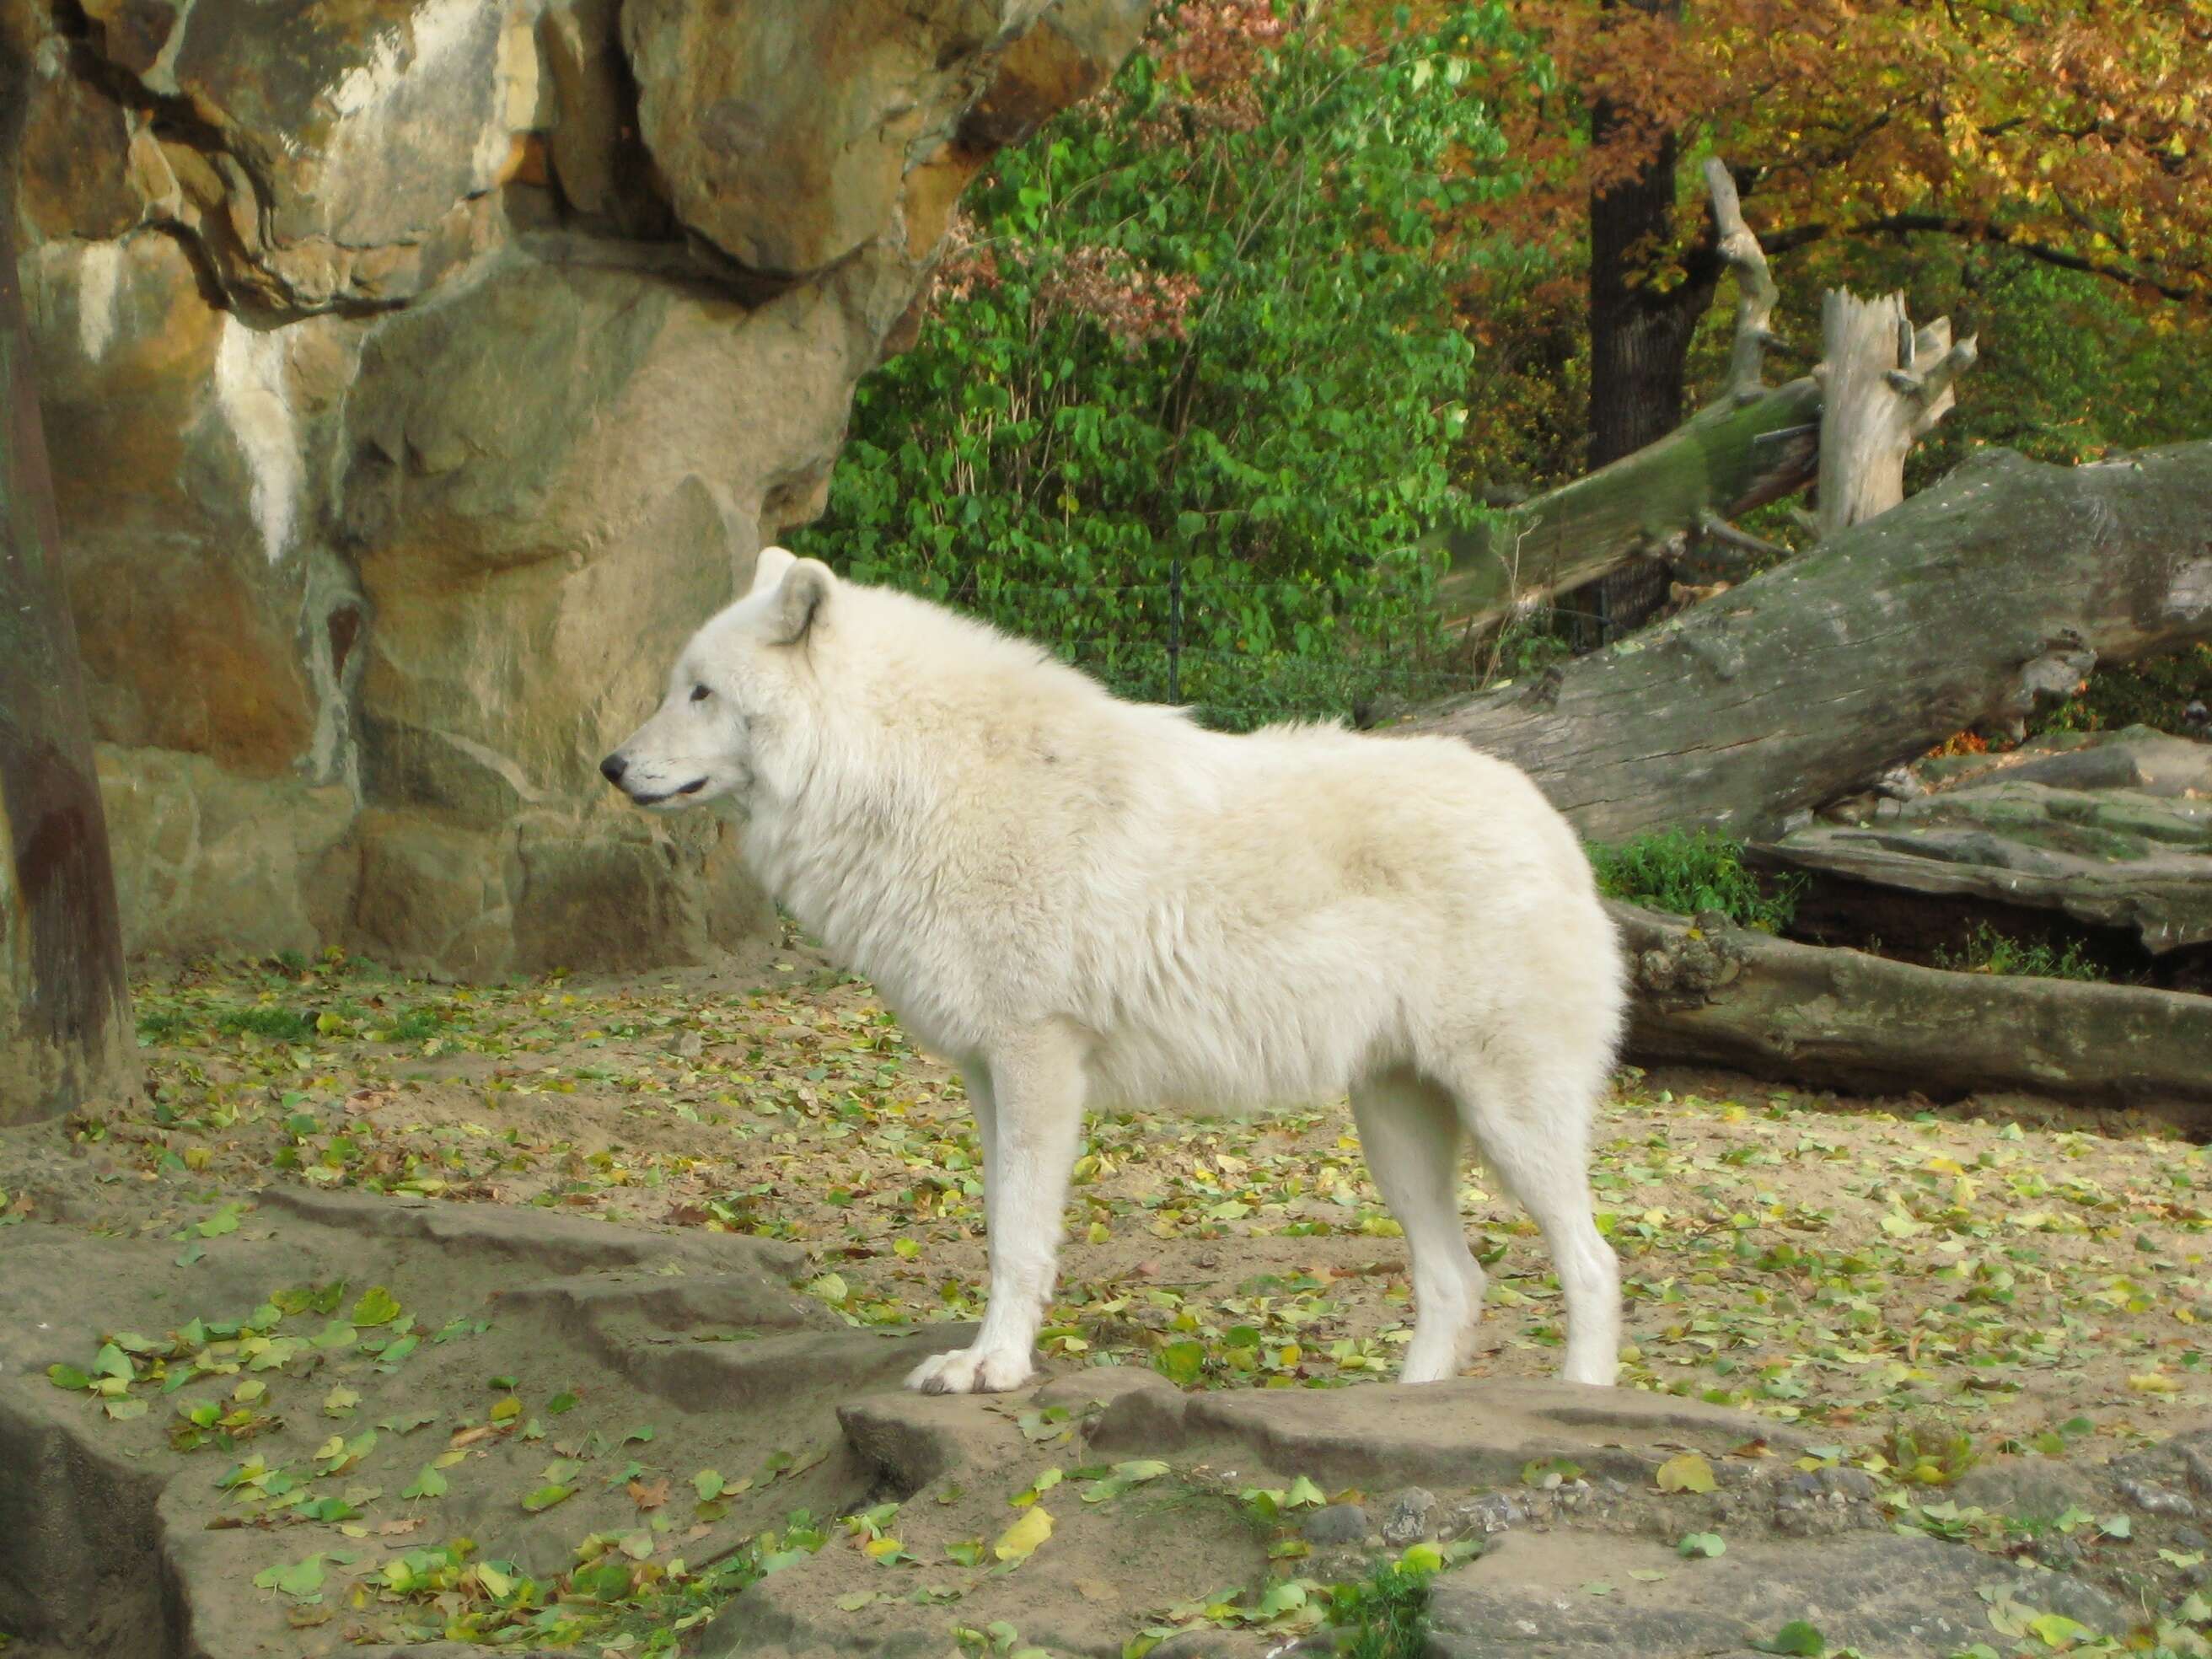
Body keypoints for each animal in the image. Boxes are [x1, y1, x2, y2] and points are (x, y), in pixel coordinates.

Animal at [605, 553, 1628, 1398]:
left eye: (701, 694)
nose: (613, 766)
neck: (914, 781)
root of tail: (1553, 824)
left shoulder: (1037, 1062)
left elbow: (1019, 1241)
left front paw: (994, 1368)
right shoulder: (986, 1075)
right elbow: (1001, 1227)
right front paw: (987, 1356)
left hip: (1508, 1117)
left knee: (1591, 1262)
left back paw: (1580, 1399)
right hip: (1394, 1125)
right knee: (1457, 1281)